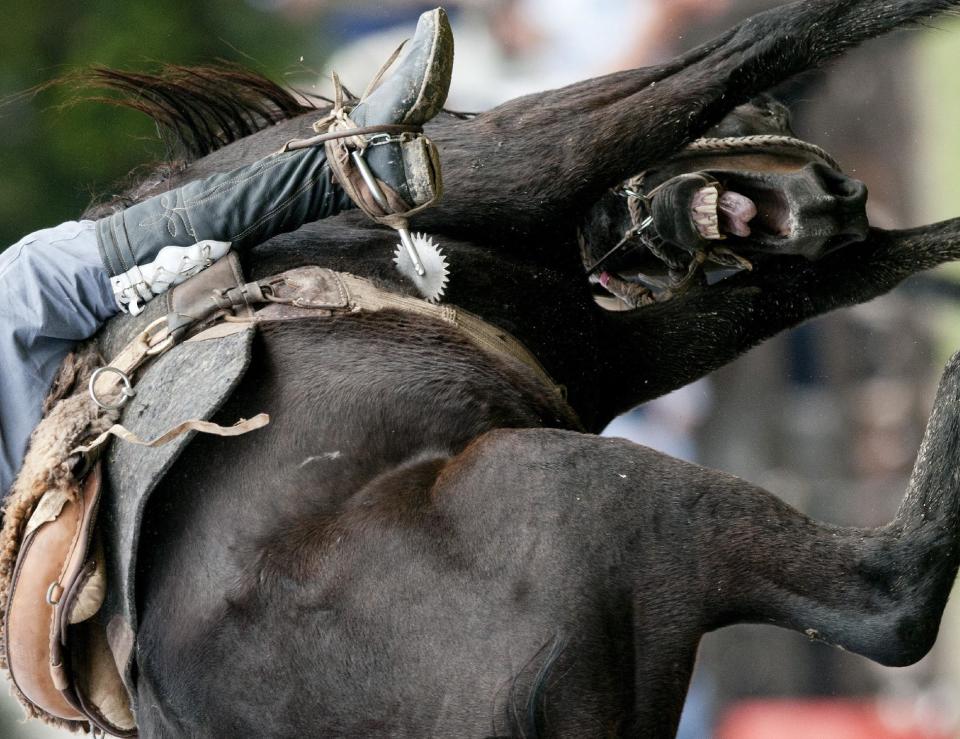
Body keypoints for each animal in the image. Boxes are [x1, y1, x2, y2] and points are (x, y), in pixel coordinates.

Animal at [82, 0, 960, 736]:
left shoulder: (603, 349)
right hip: (576, 484)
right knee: (889, 594)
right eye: (767, 111)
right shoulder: (526, 158)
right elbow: (763, 38)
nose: (836, 196)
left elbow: (852, 271)